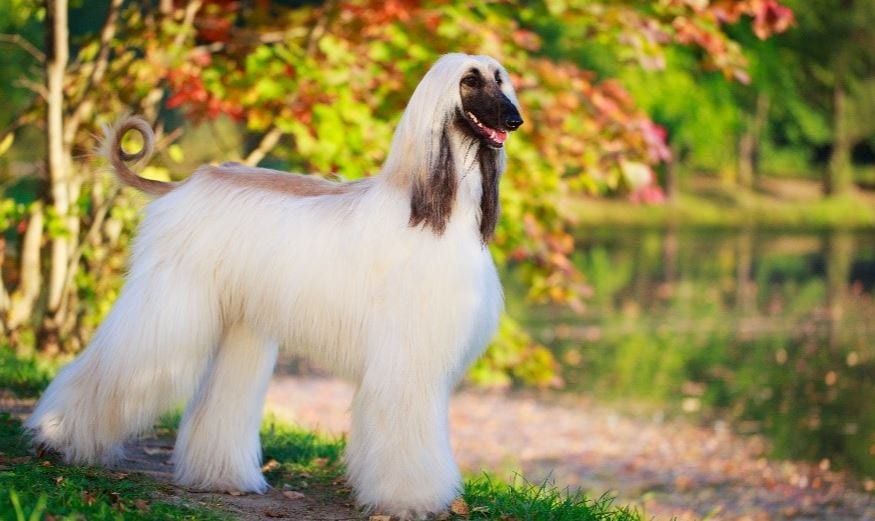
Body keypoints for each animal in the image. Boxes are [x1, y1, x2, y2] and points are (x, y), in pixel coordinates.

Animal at [25, 52, 520, 516]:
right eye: (469, 81)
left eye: (500, 79)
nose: (515, 119)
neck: (439, 208)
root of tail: (182, 185)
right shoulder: (406, 353)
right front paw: (411, 500)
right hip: (170, 303)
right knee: (115, 366)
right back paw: (56, 437)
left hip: (239, 321)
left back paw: (221, 476)